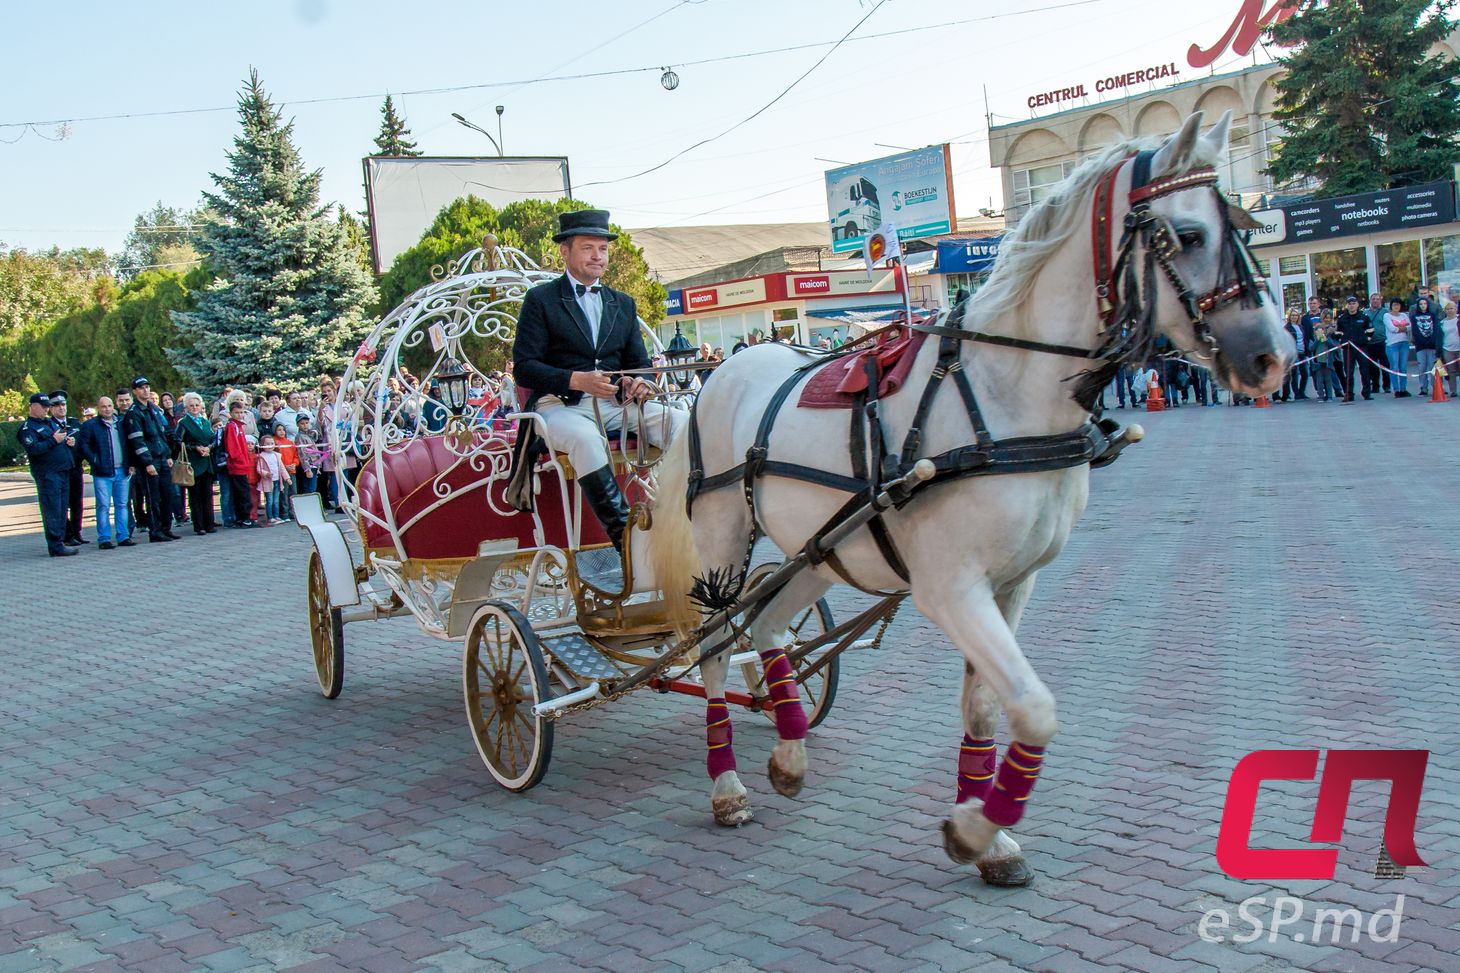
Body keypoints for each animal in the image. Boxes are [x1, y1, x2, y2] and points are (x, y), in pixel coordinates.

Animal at [645, 109, 1284, 882]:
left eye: (1242, 228)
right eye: (1187, 236)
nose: (1271, 357)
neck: (1004, 390)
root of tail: (716, 375)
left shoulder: (1013, 582)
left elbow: (984, 706)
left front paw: (988, 833)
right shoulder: (951, 589)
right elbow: (1034, 707)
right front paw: (980, 827)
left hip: (822, 548)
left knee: (767, 626)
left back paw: (790, 750)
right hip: (721, 542)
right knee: (714, 645)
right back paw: (727, 784)